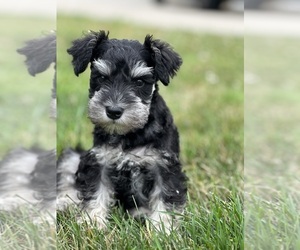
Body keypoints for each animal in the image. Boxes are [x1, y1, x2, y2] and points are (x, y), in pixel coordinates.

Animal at [57, 31, 186, 232]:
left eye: (140, 81)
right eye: (101, 77)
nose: (114, 111)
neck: (130, 134)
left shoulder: (164, 167)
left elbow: (166, 198)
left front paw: (163, 229)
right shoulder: (99, 160)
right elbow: (95, 191)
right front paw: (92, 222)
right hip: (73, 156)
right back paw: (63, 202)